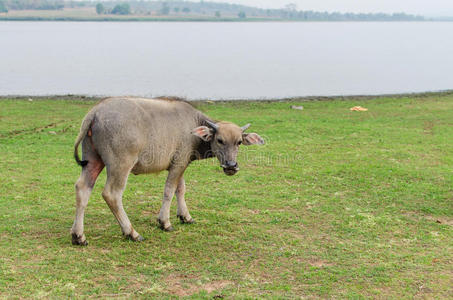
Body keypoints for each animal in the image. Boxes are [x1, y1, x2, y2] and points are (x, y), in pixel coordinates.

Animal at [69, 97, 264, 245]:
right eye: (220, 140)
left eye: (239, 142)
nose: (231, 165)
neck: (193, 125)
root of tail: (96, 112)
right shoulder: (178, 164)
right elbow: (169, 191)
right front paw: (165, 222)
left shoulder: (181, 164)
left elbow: (181, 189)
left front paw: (185, 216)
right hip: (120, 165)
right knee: (112, 194)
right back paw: (131, 232)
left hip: (93, 160)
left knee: (82, 189)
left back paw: (78, 235)